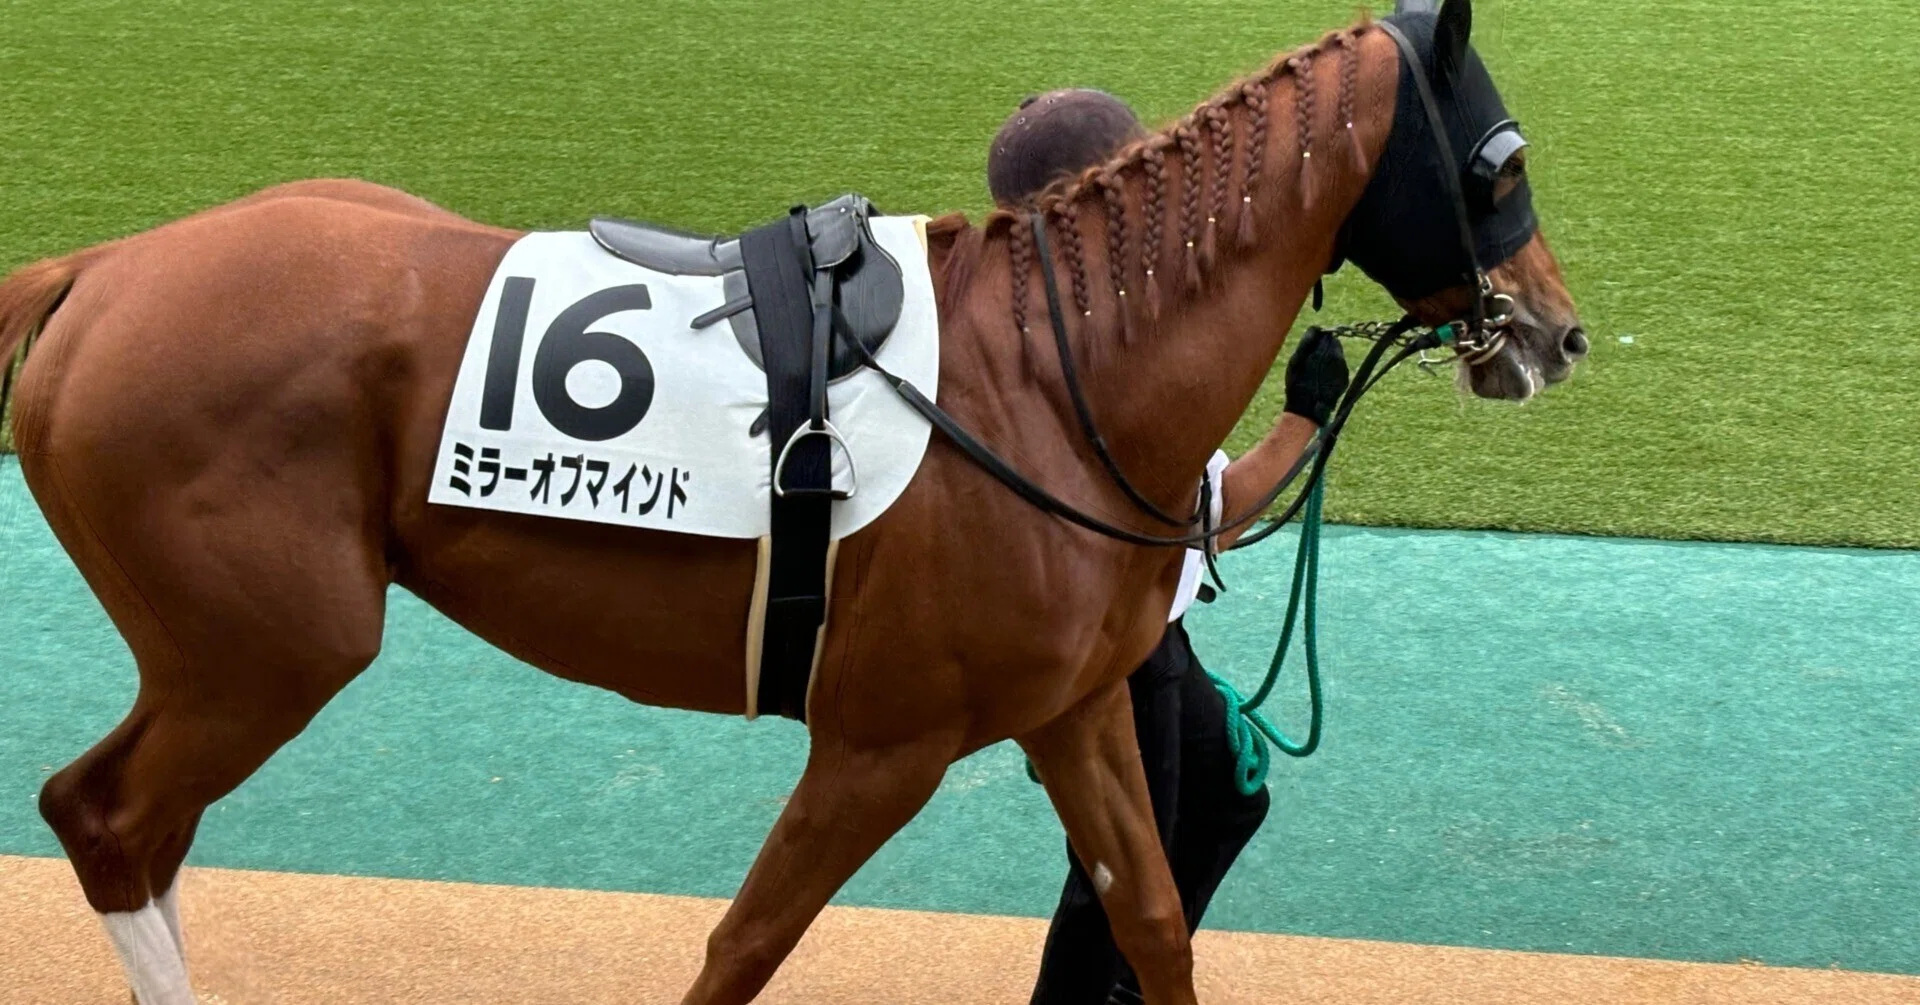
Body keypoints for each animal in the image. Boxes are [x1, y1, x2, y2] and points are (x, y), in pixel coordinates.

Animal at [0, 2, 1585, 1002]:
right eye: (1503, 161)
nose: (1560, 334)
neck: (1050, 375)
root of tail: (101, 268)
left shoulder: (1074, 711)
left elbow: (1149, 920)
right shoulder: (881, 744)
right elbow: (740, 948)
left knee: (139, 831)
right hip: (269, 649)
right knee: (105, 817)